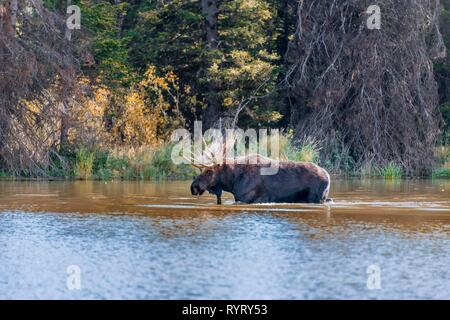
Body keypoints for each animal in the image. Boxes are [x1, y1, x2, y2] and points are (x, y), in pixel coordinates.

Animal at [190, 155, 330, 205]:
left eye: (209, 171)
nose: (193, 187)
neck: (232, 182)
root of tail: (327, 175)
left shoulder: (254, 199)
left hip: (316, 198)